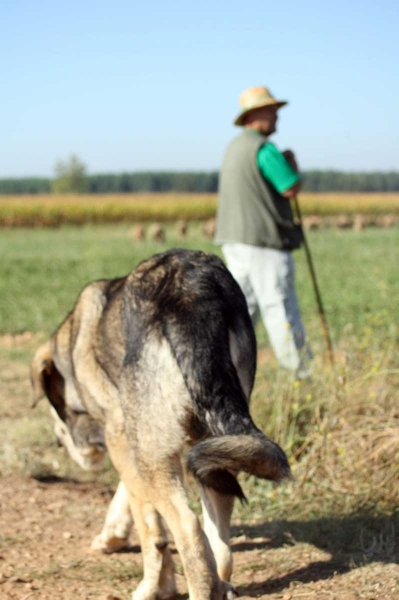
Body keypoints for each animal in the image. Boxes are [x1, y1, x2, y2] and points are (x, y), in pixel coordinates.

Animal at [29, 248, 290, 600]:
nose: (60, 443)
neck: (73, 343)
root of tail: (191, 289)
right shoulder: (133, 439)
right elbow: (128, 497)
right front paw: (112, 535)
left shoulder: (121, 436)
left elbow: (150, 528)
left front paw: (155, 586)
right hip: (208, 443)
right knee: (220, 539)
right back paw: (220, 583)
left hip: (160, 453)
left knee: (189, 527)